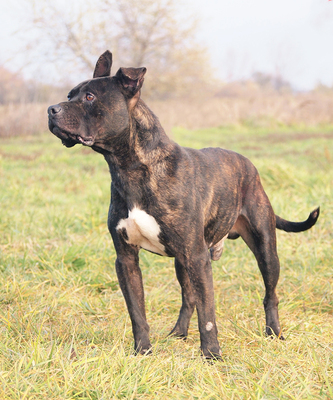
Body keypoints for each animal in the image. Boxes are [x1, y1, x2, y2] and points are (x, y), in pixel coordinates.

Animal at [47, 50, 320, 360]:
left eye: (90, 97)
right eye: (70, 95)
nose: (51, 110)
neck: (130, 168)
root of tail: (249, 166)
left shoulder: (198, 258)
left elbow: (208, 314)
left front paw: (212, 354)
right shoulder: (126, 259)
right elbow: (137, 311)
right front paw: (142, 351)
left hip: (264, 249)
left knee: (270, 293)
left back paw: (273, 332)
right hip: (182, 260)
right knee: (188, 296)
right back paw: (179, 332)